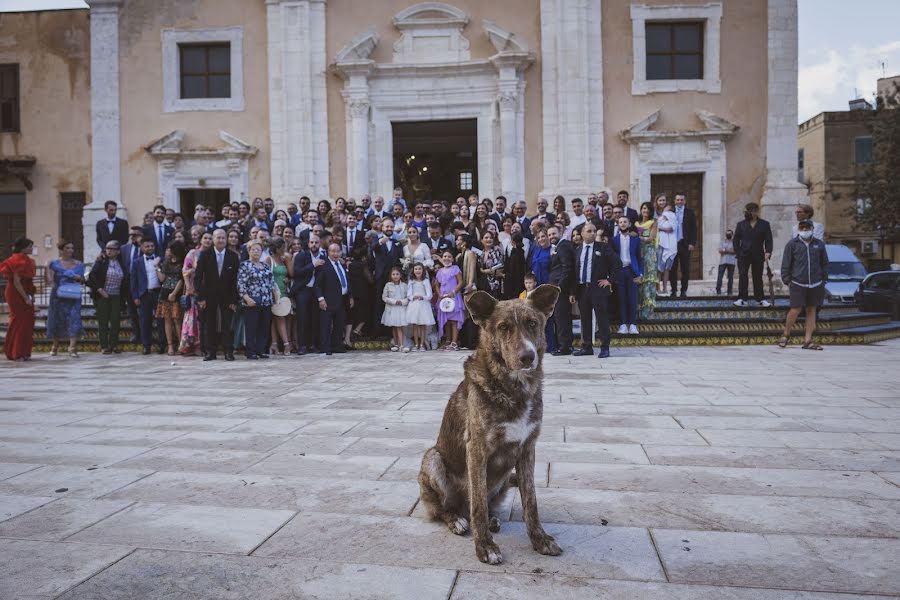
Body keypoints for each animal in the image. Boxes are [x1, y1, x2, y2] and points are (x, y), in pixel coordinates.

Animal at [416, 284, 560, 564]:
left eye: (533, 323)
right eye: (503, 327)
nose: (528, 357)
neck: (514, 388)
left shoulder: (527, 449)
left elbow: (531, 501)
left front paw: (540, 539)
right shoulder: (477, 450)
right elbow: (478, 504)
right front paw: (485, 546)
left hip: (503, 479)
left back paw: (493, 519)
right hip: (433, 459)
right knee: (444, 508)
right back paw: (457, 520)